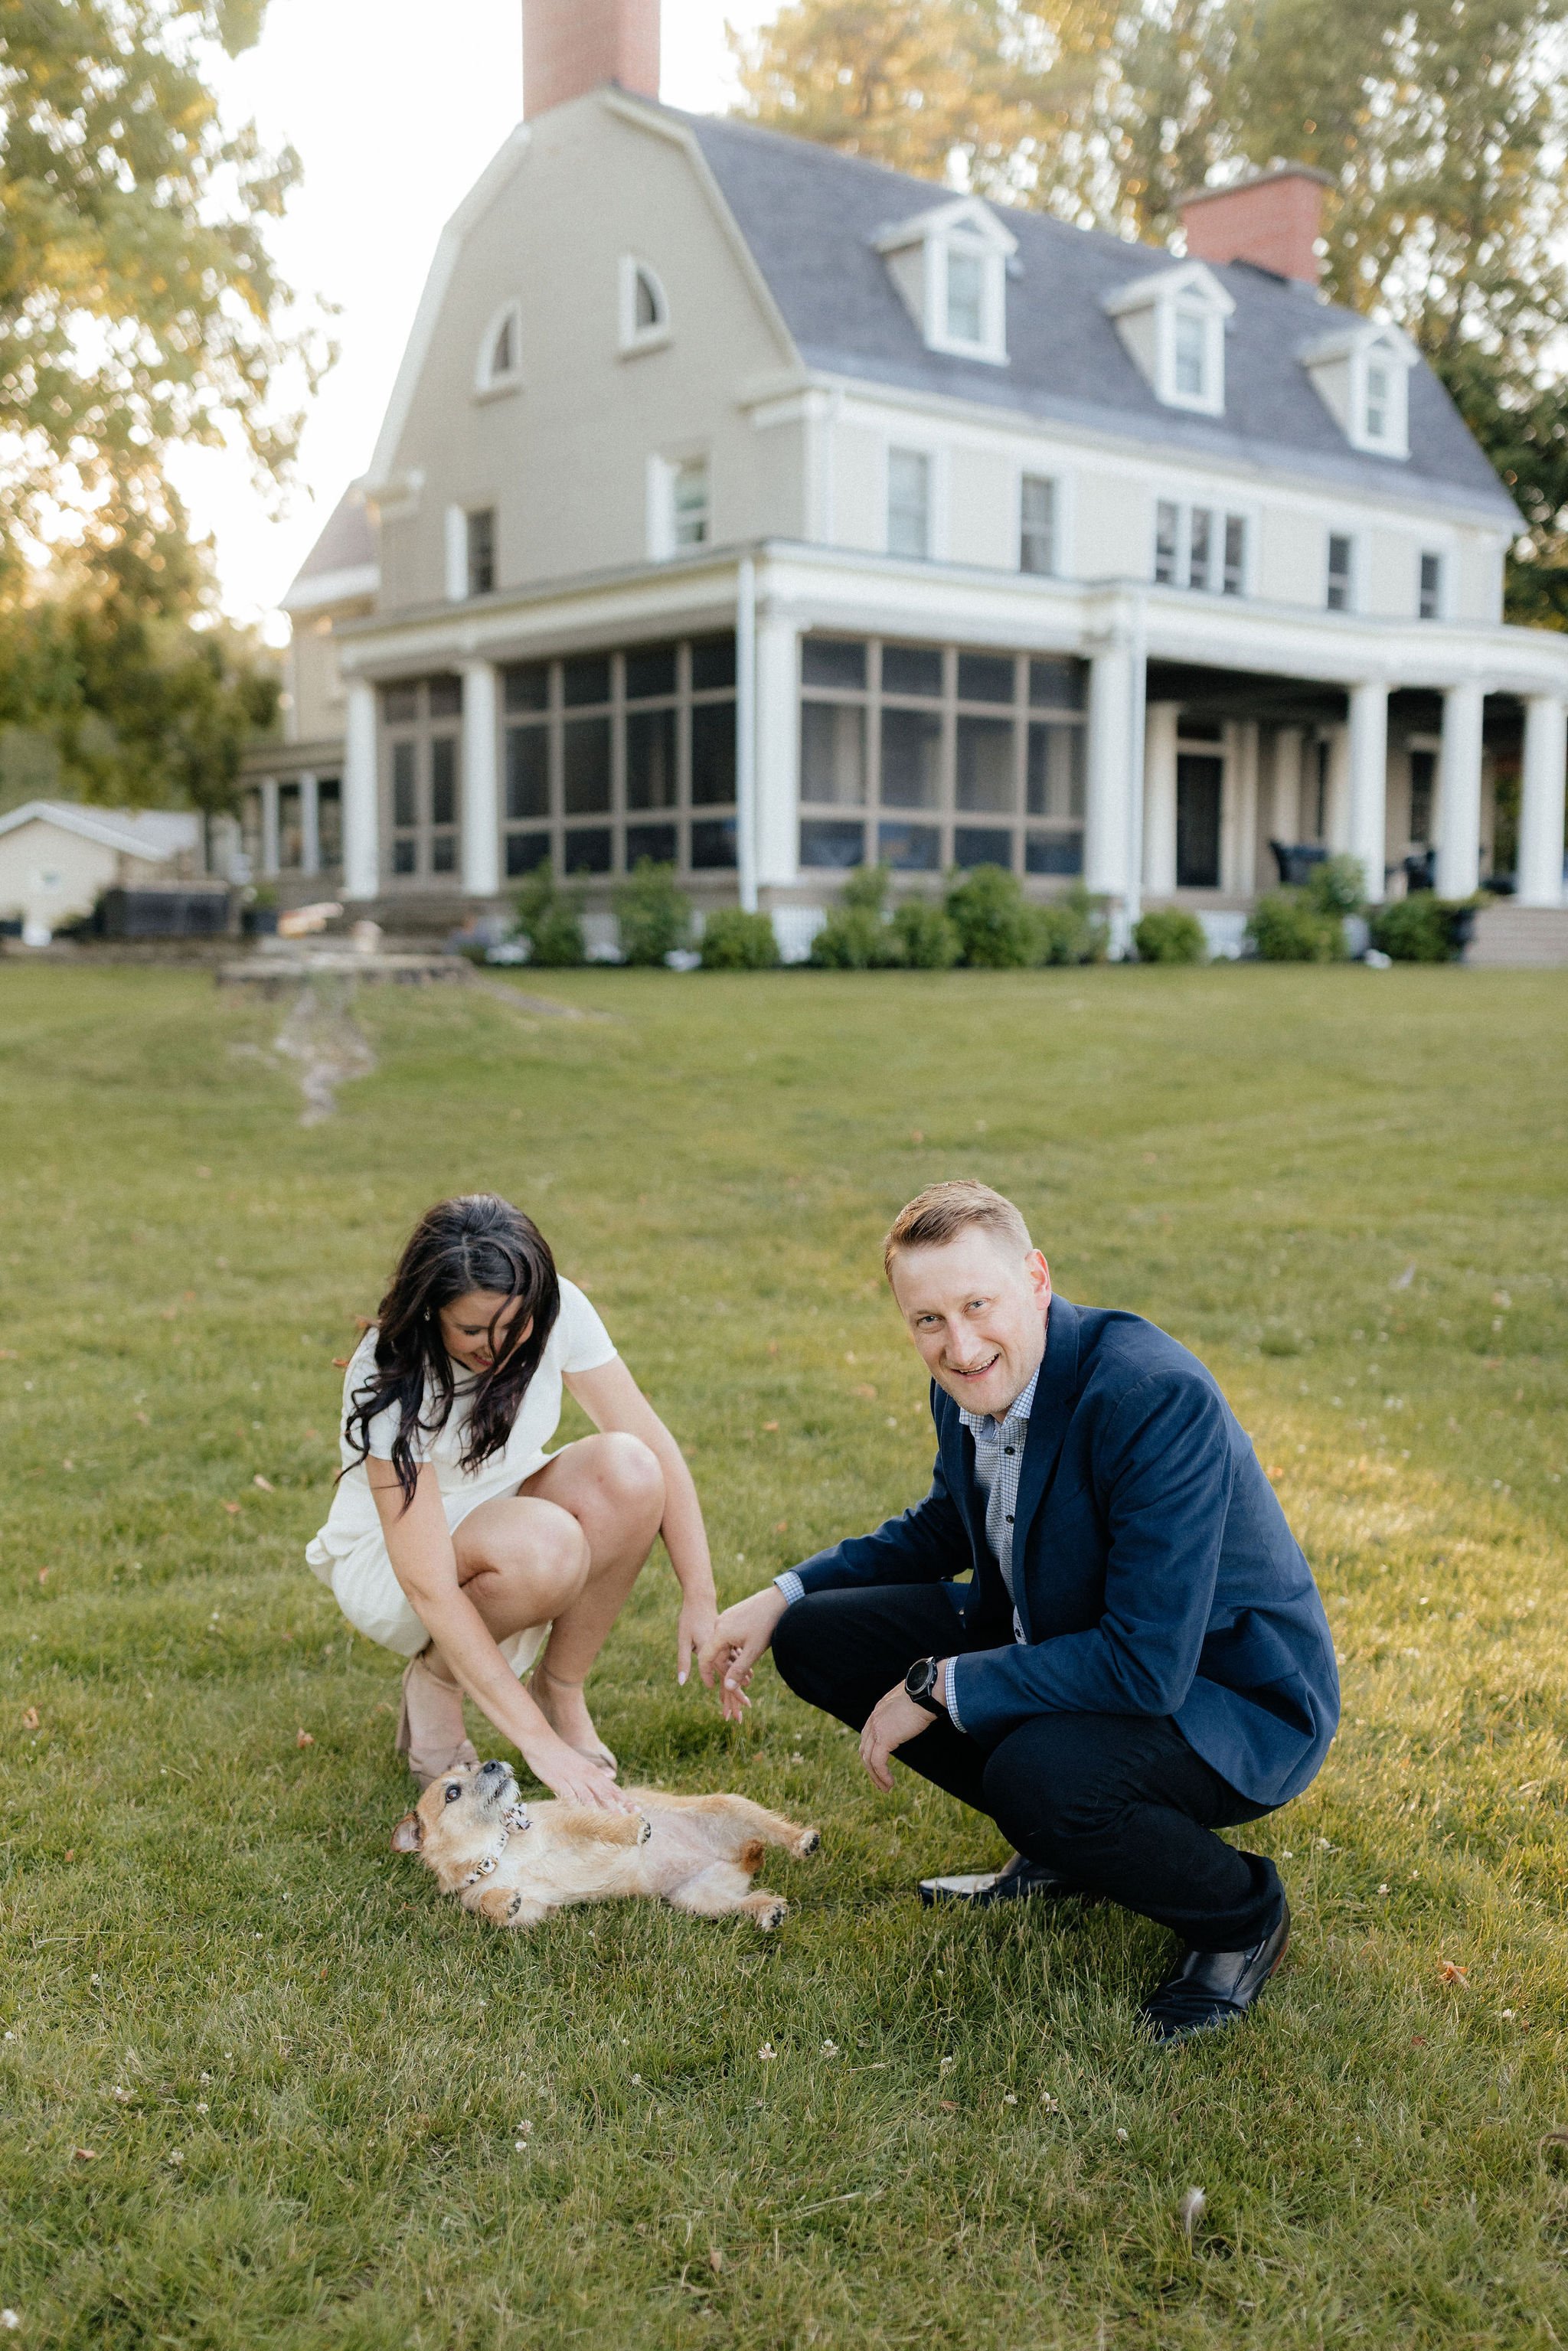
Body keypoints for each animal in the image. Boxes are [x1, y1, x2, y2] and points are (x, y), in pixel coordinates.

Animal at [394, 1768, 822, 1928]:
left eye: (472, 1765)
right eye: (452, 1792)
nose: (493, 1763)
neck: (500, 1851)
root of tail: (737, 1859)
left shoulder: (571, 1818)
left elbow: (601, 1824)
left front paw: (633, 1828)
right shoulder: (532, 1909)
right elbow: (498, 1907)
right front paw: (502, 1902)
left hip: (730, 1808)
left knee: (772, 1829)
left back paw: (802, 1840)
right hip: (698, 1899)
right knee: (740, 1900)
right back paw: (767, 1910)